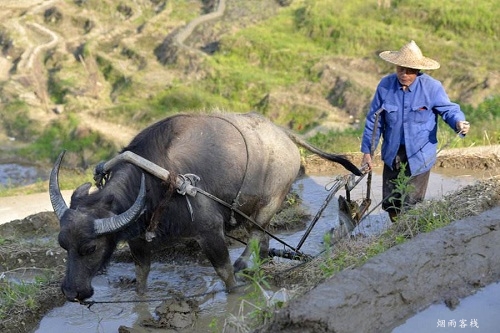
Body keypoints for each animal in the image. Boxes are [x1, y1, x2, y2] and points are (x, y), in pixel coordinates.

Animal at [48, 111, 360, 300]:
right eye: (63, 244)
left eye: (90, 248)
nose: (71, 292)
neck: (156, 183)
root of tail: (283, 135)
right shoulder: (138, 239)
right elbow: (142, 275)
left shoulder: (210, 232)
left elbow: (225, 273)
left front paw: (235, 288)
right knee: (262, 239)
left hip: (271, 201)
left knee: (257, 234)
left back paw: (246, 264)